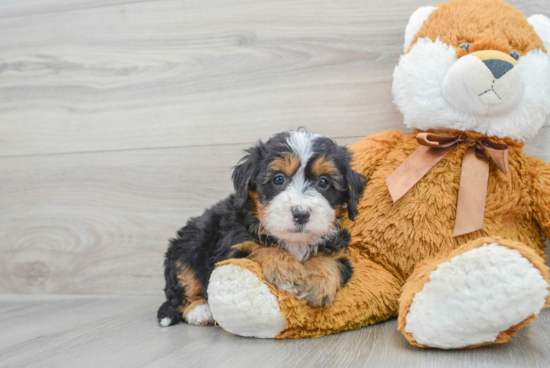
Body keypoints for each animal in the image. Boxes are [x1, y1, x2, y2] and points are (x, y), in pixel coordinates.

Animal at [157, 129, 368, 328]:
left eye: (323, 182)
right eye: (279, 179)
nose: (301, 214)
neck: (295, 242)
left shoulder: (340, 251)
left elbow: (329, 260)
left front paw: (318, 283)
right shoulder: (231, 249)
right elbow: (261, 247)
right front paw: (287, 270)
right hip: (188, 246)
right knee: (182, 285)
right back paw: (199, 310)